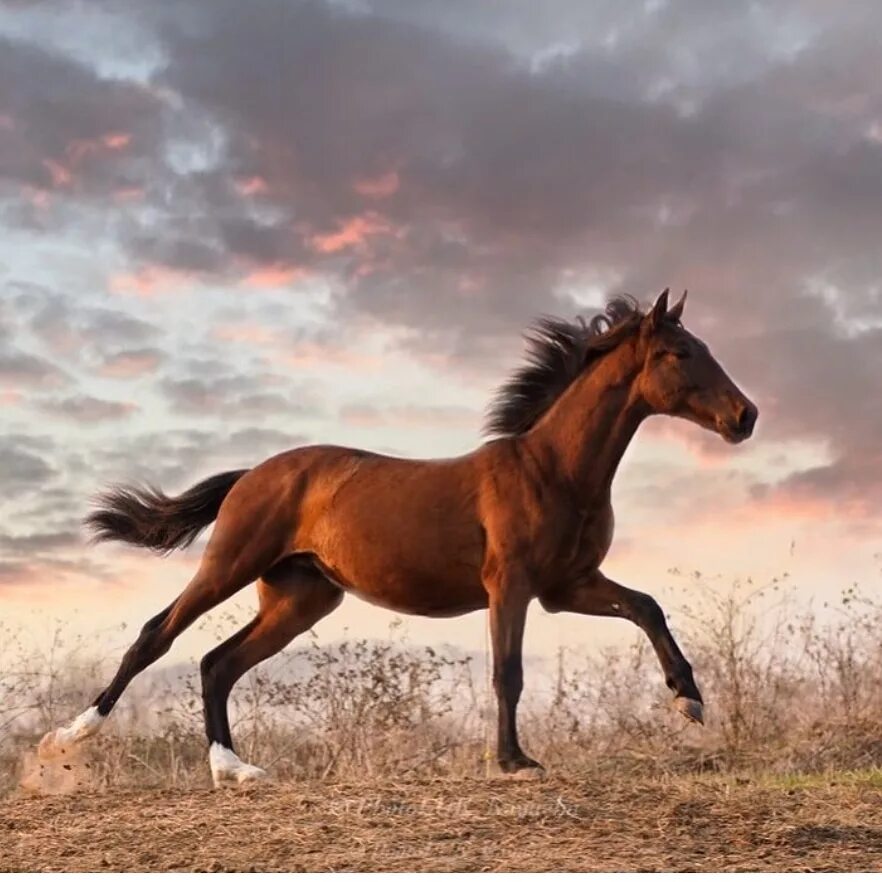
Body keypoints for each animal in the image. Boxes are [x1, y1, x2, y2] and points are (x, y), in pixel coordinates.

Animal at [39, 288, 756, 784]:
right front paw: (513, 761)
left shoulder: (567, 586)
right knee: (156, 636)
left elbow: (646, 607)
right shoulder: (511, 585)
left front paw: (689, 702)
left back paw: (235, 770)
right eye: (678, 353)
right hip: (230, 566)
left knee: (218, 664)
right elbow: (508, 671)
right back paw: (66, 740)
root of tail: (252, 474)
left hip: (300, 600)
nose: (745, 416)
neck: (553, 469)